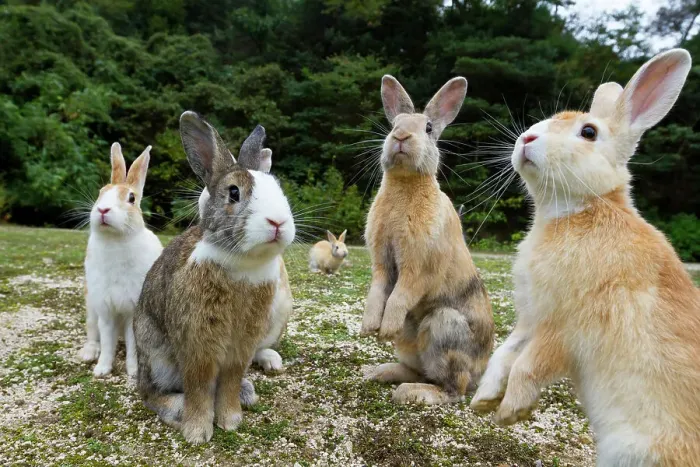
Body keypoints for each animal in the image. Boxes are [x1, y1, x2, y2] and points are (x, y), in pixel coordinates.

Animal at [78, 143, 163, 378]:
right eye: (101, 193)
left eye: (131, 198)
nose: (102, 210)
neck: (114, 240)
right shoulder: (105, 310)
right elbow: (107, 342)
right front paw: (101, 370)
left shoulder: (132, 310)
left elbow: (133, 345)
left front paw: (133, 371)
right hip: (91, 307)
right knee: (93, 334)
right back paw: (88, 353)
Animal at [360, 75, 495, 405]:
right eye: (394, 123)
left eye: (429, 128)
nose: (400, 136)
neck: (406, 184)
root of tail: (479, 373)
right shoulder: (382, 262)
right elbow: (377, 291)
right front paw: (369, 327)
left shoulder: (418, 268)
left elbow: (400, 295)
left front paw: (385, 329)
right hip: (411, 345)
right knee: (418, 370)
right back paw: (380, 373)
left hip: (442, 328)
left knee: (452, 389)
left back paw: (410, 392)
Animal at [470, 49, 700, 466]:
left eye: (588, 132)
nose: (527, 138)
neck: (581, 208)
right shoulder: (531, 320)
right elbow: (503, 356)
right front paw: (484, 401)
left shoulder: (564, 327)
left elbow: (528, 365)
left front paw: (511, 412)